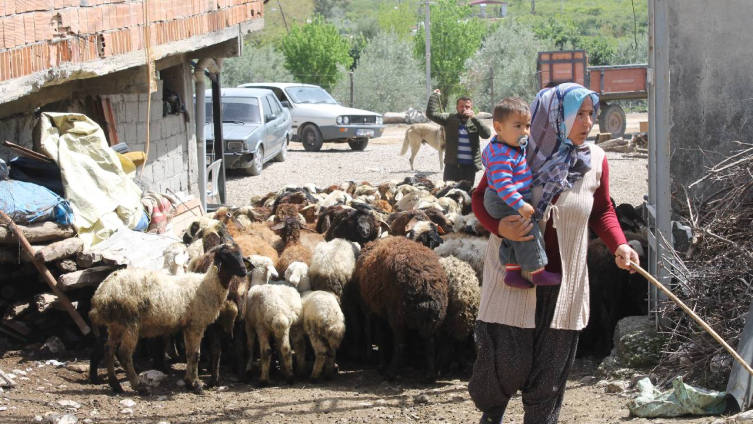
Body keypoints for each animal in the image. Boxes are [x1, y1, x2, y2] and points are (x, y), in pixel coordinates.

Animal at [88, 243, 247, 396]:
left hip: (116, 324)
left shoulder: (188, 326)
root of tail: (102, 293)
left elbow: (190, 354)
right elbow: (195, 354)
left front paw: (189, 382)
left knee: (109, 349)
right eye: (225, 256)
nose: (244, 271)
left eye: (240, 254)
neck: (207, 286)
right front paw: (196, 384)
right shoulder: (196, 324)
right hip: (130, 322)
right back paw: (139, 387)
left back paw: (115, 385)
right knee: (124, 353)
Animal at [352, 237, 446, 382]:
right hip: (432, 318)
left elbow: (377, 335)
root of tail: (424, 281)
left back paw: (391, 373)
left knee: (400, 342)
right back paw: (431, 374)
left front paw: (380, 364)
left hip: (397, 314)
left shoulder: (374, 308)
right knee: (431, 342)